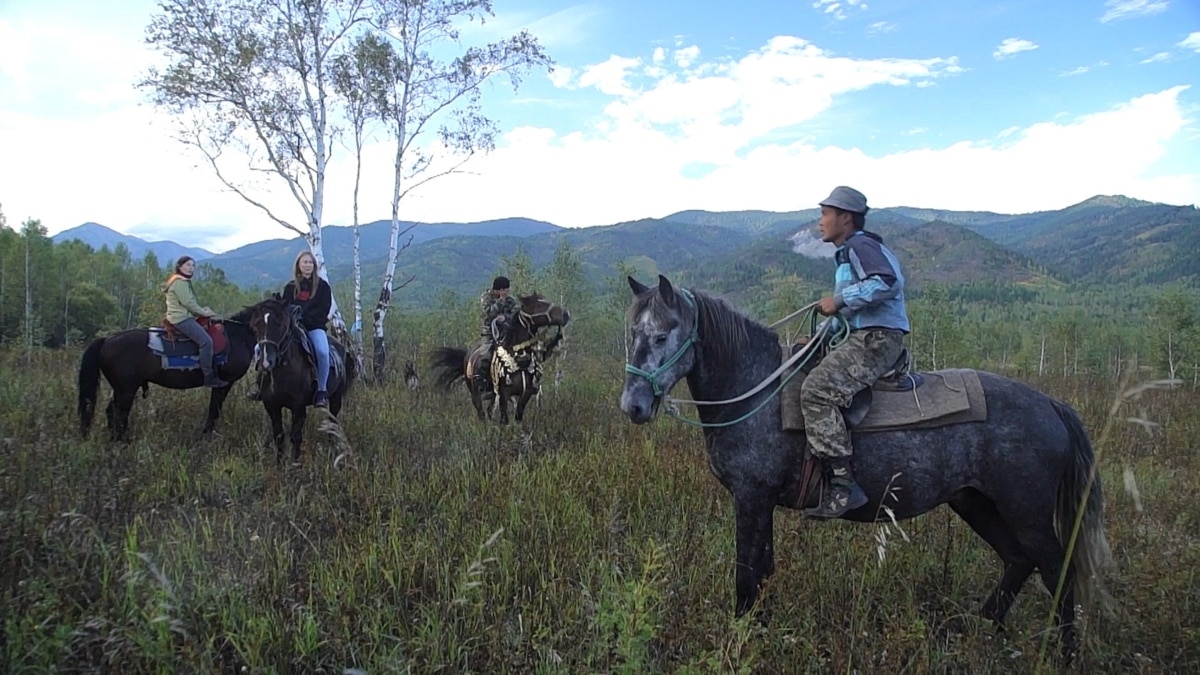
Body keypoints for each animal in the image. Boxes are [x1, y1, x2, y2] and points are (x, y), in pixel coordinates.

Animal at [78, 307, 261, 439]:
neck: (238, 335)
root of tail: (107, 340)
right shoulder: (224, 382)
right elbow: (214, 408)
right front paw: (207, 434)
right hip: (126, 390)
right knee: (119, 413)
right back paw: (123, 440)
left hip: (121, 389)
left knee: (111, 411)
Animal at [243, 295, 355, 458]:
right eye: (255, 326)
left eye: (280, 325)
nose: (266, 362)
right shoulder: (271, 406)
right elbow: (279, 436)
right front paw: (280, 462)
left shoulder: (298, 408)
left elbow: (296, 437)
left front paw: (295, 463)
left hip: (336, 398)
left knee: (333, 423)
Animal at [432, 293, 571, 422]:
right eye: (538, 305)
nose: (566, 314)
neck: (520, 358)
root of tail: (467, 356)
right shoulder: (504, 394)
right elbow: (504, 419)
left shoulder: (526, 393)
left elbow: (518, 416)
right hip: (475, 393)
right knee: (481, 413)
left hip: (493, 395)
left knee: (489, 411)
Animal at [619, 275, 1113, 662]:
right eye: (632, 334)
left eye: (661, 336)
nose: (633, 406)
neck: (756, 390)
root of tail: (1050, 404)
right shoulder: (762, 504)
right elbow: (764, 571)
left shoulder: (752, 499)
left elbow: (746, 575)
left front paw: (742, 638)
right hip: (977, 504)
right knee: (1018, 560)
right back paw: (979, 627)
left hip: (1027, 513)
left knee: (1057, 571)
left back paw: (1063, 654)